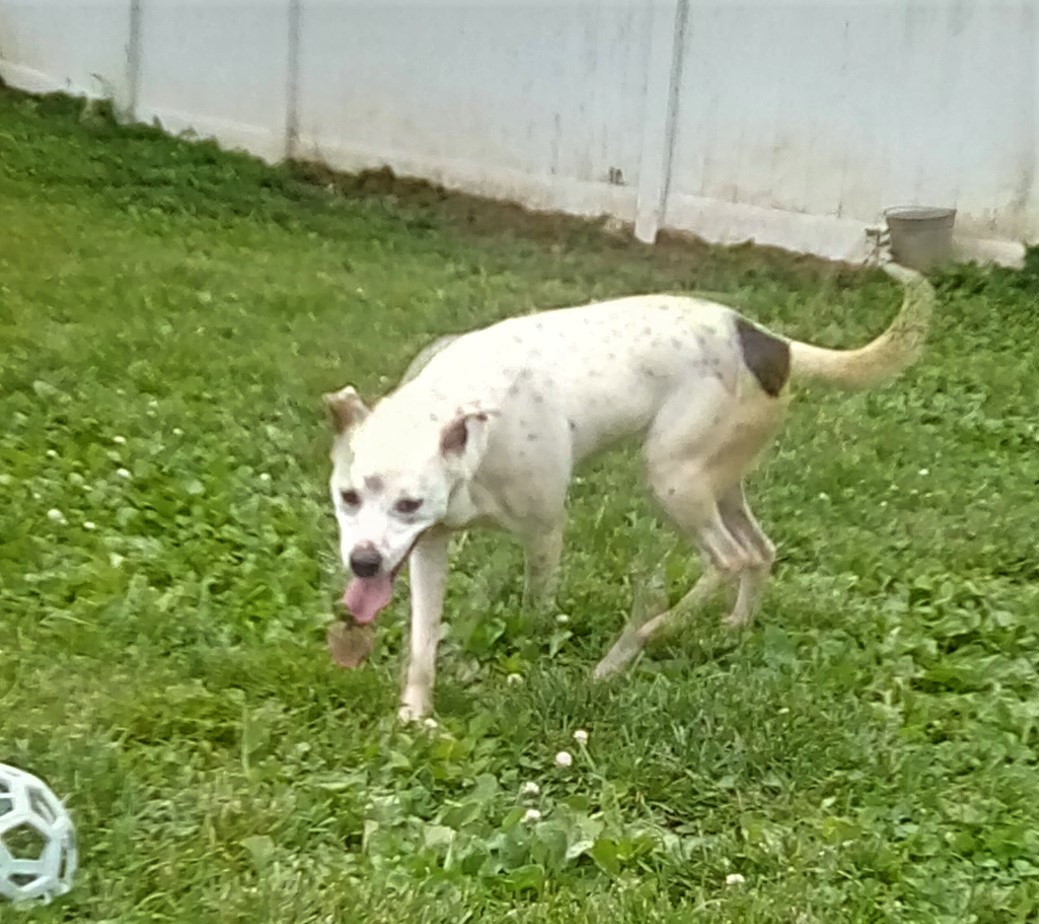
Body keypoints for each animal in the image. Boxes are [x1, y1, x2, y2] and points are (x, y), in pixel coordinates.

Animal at [324, 260, 935, 719]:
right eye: (347, 497)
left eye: (409, 504)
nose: (363, 563)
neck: (466, 413)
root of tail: (772, 342)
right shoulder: (429, 545)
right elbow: (423, 639)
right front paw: (415, 713)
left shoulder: (544, 531)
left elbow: (536, 608)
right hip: (718, 479)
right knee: (760, 550)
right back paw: (733, 626)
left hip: (672, 477)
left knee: (727, 559)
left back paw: (638, 643)